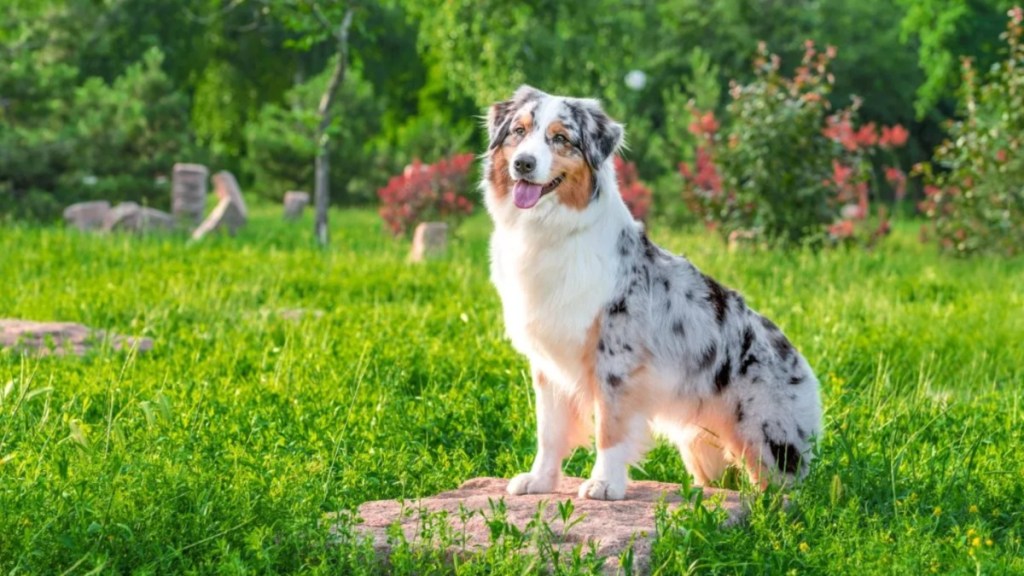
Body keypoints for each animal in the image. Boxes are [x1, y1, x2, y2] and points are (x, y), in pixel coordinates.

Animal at [479, 84, 823, 498]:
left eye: (560, 138)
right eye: (518, 131)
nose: (524, 165)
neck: (549, 232)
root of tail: (796, 356)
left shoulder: (616, 358)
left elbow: (609, 427)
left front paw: (604, 484)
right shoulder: (548, 362)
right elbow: (549, 429)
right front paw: (540, 481)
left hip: (769, 439)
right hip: (701, 448)